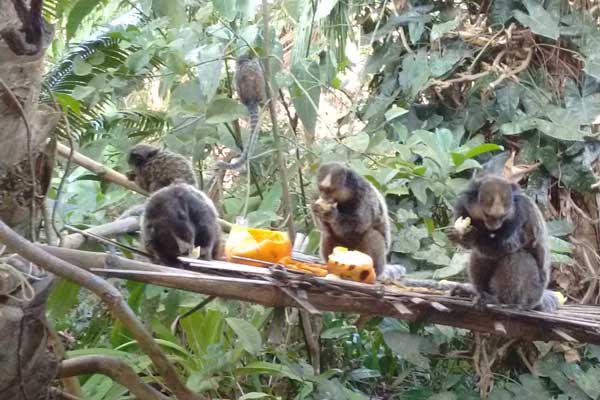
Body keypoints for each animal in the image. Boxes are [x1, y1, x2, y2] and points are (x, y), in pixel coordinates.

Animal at [448, 173, 560, 312]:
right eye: (488, 216)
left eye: (501, 217)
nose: (495, 225)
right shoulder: (463, 205)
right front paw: (458, 235)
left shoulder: (520, 212)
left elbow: (506, 247)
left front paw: (472, 237)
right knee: (480, 255)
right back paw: (479, 293)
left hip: (533, 293)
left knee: (518, 256)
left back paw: (500, 300)